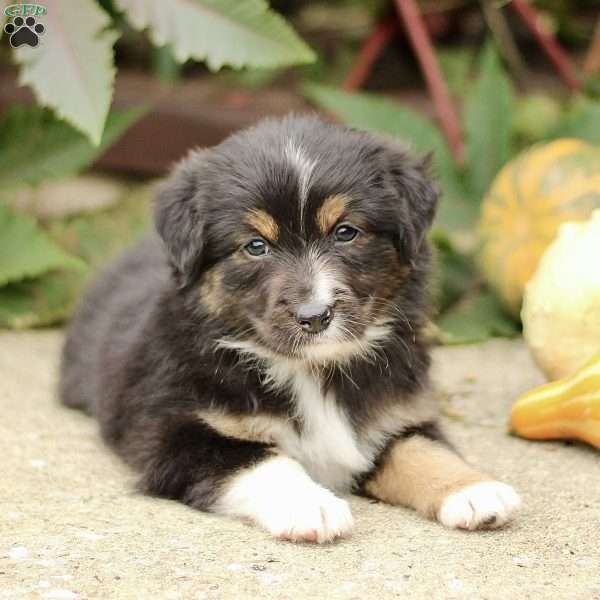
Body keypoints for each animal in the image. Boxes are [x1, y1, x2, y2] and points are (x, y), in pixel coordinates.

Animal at [62, 115, 520, 540]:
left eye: (346, 232)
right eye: (255, 246)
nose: (315, 316)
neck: (312, 372)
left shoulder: (397, 415)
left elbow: (424, 449)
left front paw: (474, 490)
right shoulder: (174, 432)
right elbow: (261, 460)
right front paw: (311, 505)